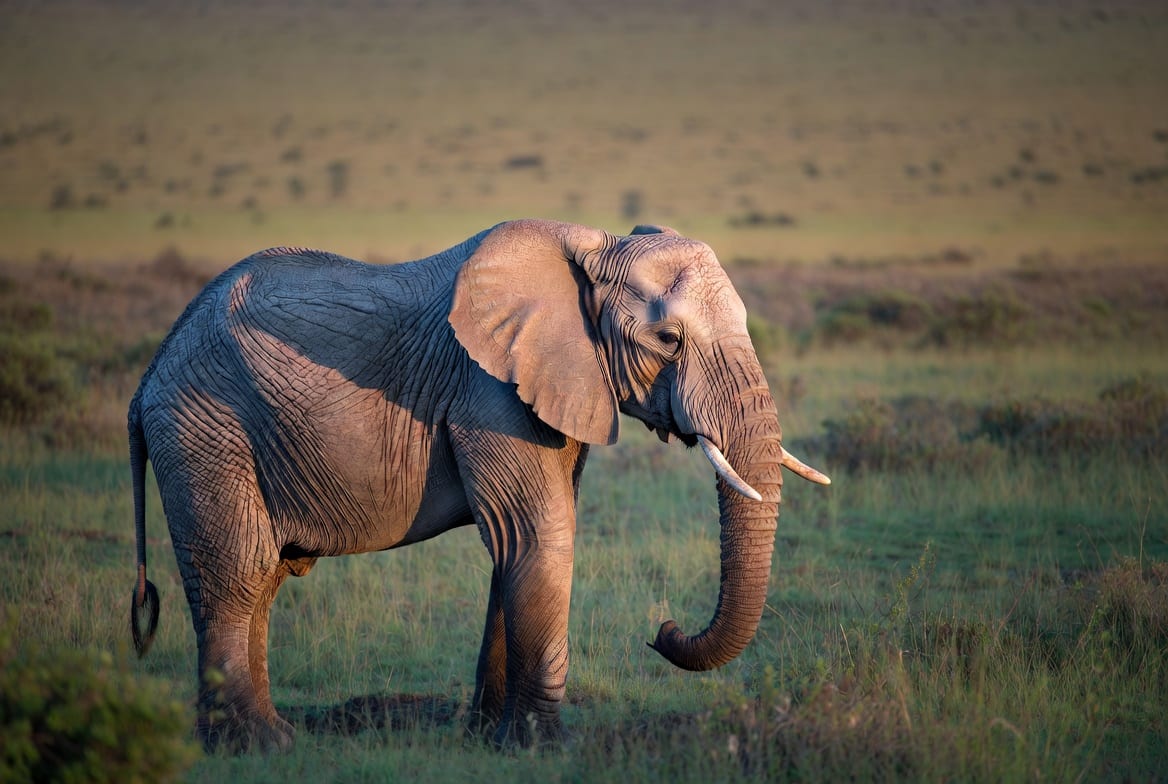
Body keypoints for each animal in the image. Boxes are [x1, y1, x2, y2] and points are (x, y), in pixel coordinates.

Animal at [128, 218, 830, 752]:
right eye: (668, 338)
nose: (662, 630)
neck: (590, 246)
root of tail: (147, 378)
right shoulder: (487, 388)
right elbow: (540, 534)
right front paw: (541, 747)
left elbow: (517, 546)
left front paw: (488, 738)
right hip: (204, 428)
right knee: (237, 572)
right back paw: (254, 746)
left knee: (265, 580)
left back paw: (268, 735)